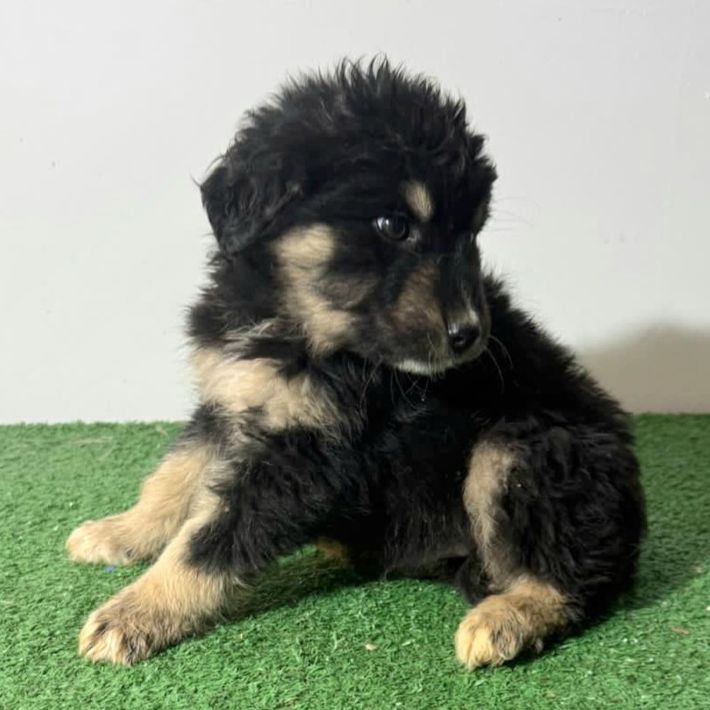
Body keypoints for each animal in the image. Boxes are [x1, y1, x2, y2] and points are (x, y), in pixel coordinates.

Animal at [66, 59, 646, 668]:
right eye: (394, 225)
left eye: (472, 232)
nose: (470, 336)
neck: (294, 326)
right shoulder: (231, 401)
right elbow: (174, 477)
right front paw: (120, 533)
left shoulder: (311, 451)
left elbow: (210, 538)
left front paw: (133, 614)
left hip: (527, 449)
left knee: (574, 574)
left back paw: (505, 619)